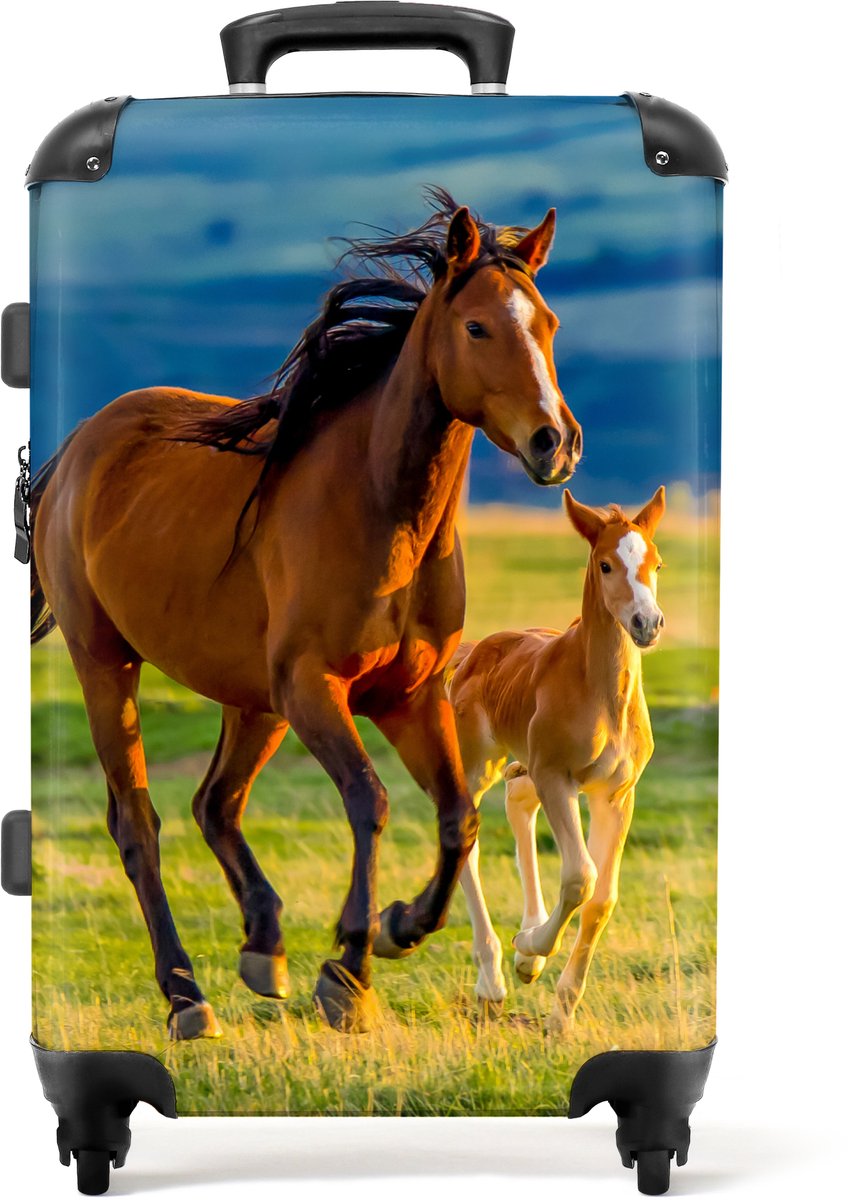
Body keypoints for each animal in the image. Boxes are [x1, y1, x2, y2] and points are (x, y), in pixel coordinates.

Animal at [29, 188, 582, 1038]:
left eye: (548, 322)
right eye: (477, 327)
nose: (556, 443)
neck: (380, 513)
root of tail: (78, 450)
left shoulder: (408, 695)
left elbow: (457, 817)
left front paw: (396, 928)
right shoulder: (316, 688)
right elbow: (369, 800)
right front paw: (349, 968)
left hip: (252, 699)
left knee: (215, 804)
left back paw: (264, 947)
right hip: (108, 667)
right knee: (139, 825)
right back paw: (186, 995)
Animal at [446, 486, 666, 1033]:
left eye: (656, 563)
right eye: (606, 565)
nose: (647, 624)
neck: (602, 693)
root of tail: (474, 650)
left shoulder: (616, 794)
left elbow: (602, 897)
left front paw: (560, 1012)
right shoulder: (557, 777)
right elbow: (580, 877)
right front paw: (529, 947)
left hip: (526, 765)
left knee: (517, 801)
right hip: (478, 763)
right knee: (467, 834)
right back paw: (494, 979)